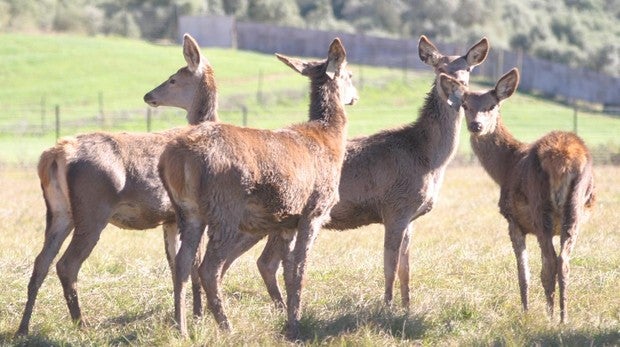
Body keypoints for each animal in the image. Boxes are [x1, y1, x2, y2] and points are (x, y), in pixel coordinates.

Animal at [15, 33, 213, 338]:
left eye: (172, 79)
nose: (148, 95)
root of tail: (56, 154)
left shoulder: (169, 218)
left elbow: (173, 265)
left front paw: (178, 316)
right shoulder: (194, 210)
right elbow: (192, 263)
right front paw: (197, 316)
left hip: (59, 212)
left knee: (40, 263)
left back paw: (23, 328)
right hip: (93, 207)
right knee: (66, 264)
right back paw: (81, 325)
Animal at [157, 38, 356, 340]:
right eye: (351, 75)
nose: (355, 96)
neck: (330, 141)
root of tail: (176, 158)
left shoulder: (287, 221)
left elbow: (285, 270)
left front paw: (289, 318)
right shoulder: (314, 210)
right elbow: (300, 269)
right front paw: (296, 324)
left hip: (187, 211)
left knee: (182, 263)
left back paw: (182, 328)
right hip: (225, 206)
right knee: (208, 268)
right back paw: (226, 327)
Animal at [242, 36, 490, 310]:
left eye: (468, 69)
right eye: (440, 69)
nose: (459, 87)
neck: (427, 157)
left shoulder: (410, 216)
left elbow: (406, 268)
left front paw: (407, 307)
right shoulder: (396, 206)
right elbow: (390, 265)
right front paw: (388, 307)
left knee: (264, 261)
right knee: (263, 261)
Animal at [436, 69, 596, 324]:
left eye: (492, 105)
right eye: (465, 105)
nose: (476, 125)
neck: (505, 167)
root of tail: (564, 161)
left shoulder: (513, 219)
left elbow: (523, 273)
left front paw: (525, 311)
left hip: (540, 208)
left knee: (549, 262)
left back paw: (549, 316)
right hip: (575, 210)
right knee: (564, 261)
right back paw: (563, 317)